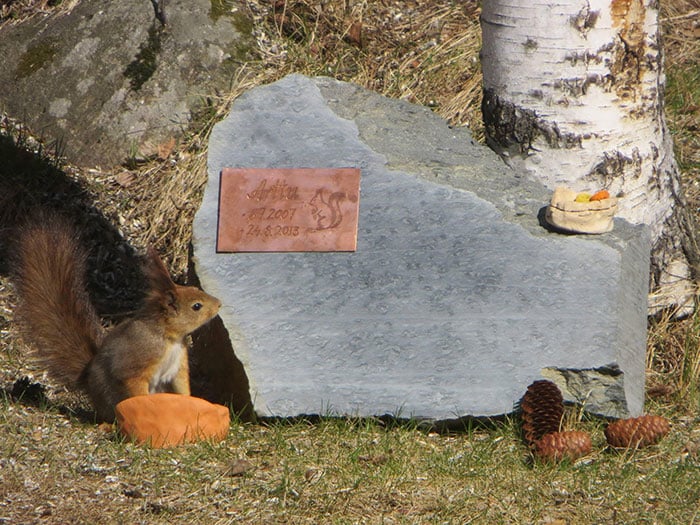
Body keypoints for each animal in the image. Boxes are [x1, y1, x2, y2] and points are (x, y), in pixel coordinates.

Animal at [13, 213, 221, 422]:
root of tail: (88, 383)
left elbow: (182, 387)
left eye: (194, 288)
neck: (168, 338)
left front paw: (192, 404)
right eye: (196, 306)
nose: (219, 304)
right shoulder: (138, 360)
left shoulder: (178, 367)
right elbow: (134, 383)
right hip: (111, 398)